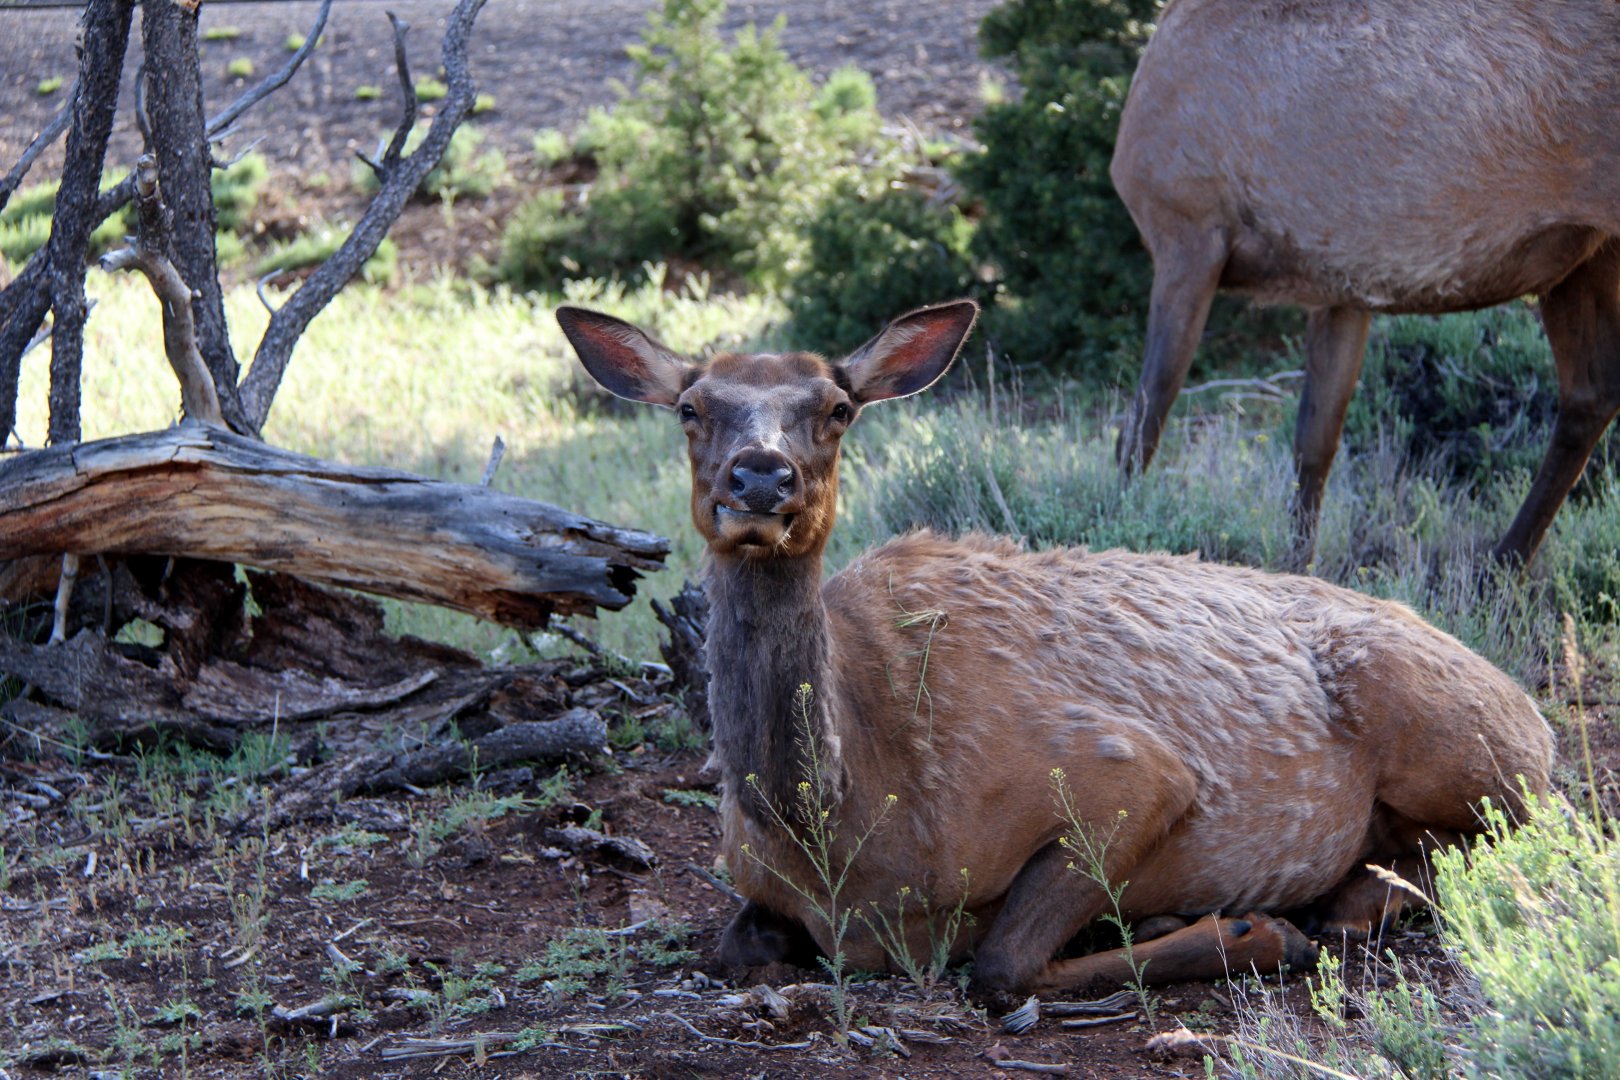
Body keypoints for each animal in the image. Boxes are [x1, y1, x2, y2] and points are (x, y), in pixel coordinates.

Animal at [557, 300, 1554, 1000]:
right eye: (691, 408)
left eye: (838, 408)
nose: (761, 477)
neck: (837, 837)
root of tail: (1534, 712)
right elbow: (733, 946)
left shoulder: (1132, 771)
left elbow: (1000, 966)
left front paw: (1250, 932)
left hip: (1472, 753)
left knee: (1517, 835)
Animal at [1111, 0, 1620, 570]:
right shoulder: (1342, 287)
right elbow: (1315, 446)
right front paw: (1296, 570)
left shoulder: (1187, 230)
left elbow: (1143, 422)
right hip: (1587, 259)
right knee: (1591, 392)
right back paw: (1499, 568)